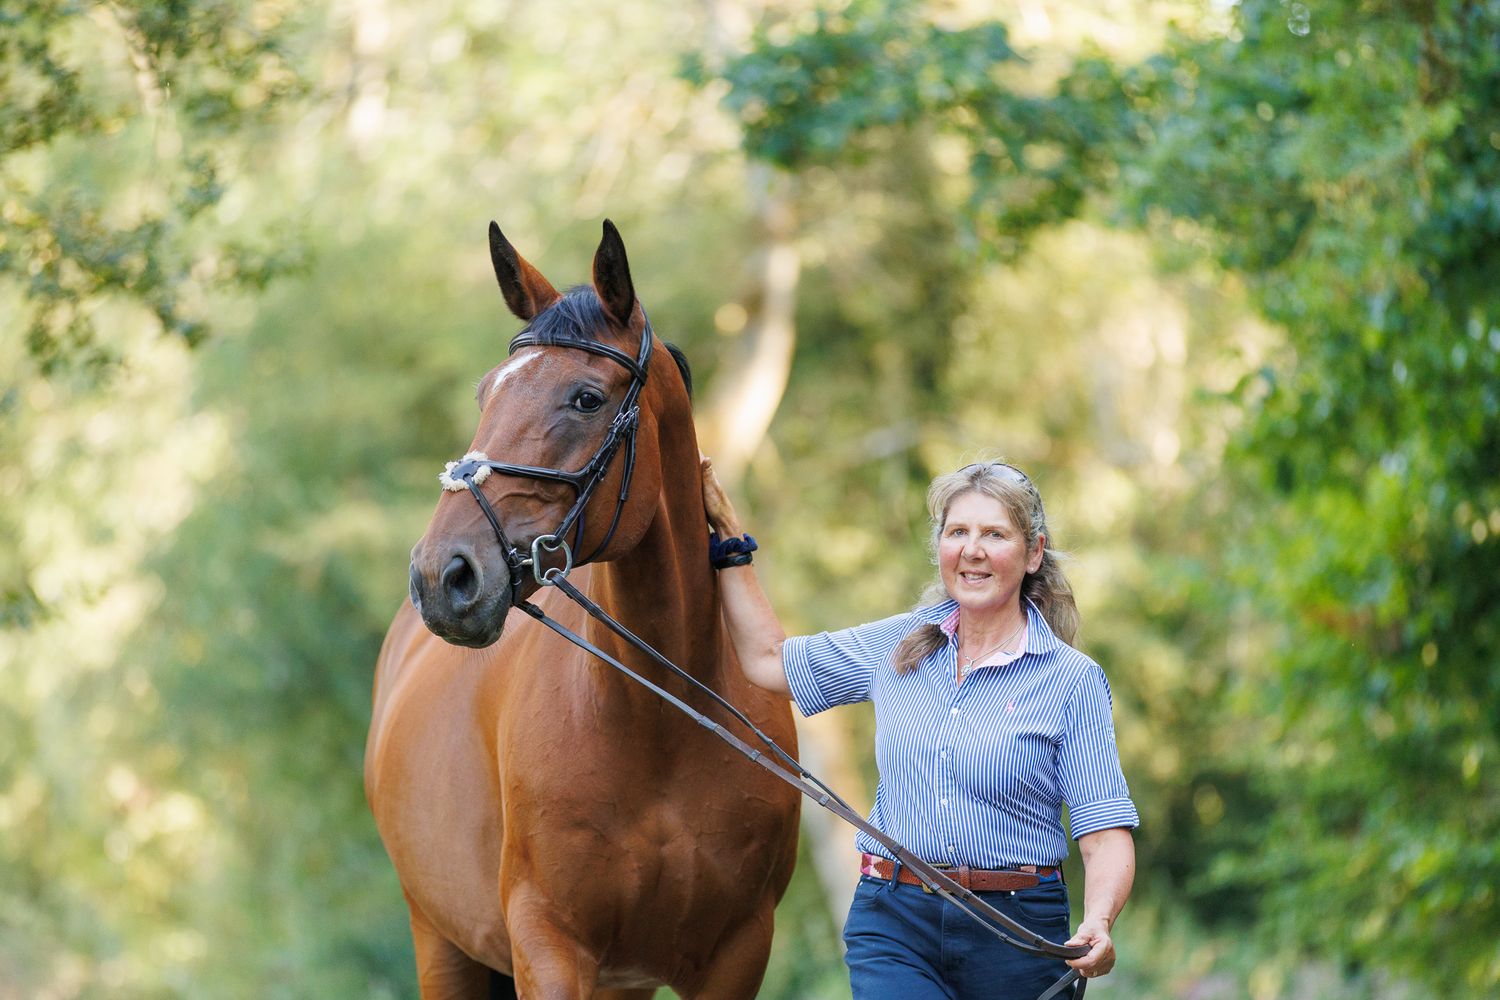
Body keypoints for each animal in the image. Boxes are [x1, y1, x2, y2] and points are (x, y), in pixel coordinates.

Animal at [365, 220, 802, 1000]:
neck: (663, 722)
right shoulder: (549, 947)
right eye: (486, 393)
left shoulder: (737, 953)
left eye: (586, 400)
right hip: (442, 944)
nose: (442, 575)